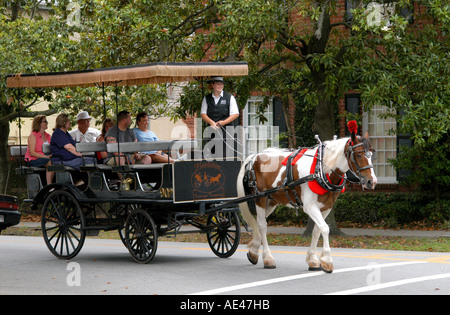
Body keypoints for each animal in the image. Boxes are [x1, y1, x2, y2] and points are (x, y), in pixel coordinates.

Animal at [237, 127, 378, 272]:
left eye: (371, 155)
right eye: (359, 155)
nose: (371, 181)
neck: (321, 170)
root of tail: (255, 156)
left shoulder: (326, 207)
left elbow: (317, 230)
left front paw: (313, 260)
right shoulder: (310, 206)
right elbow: (325, 228)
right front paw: (327, 260)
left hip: (272, 201)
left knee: (258, 223)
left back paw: (254, 251)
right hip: (260, 198)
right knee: (261, 225)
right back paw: (268, 258)